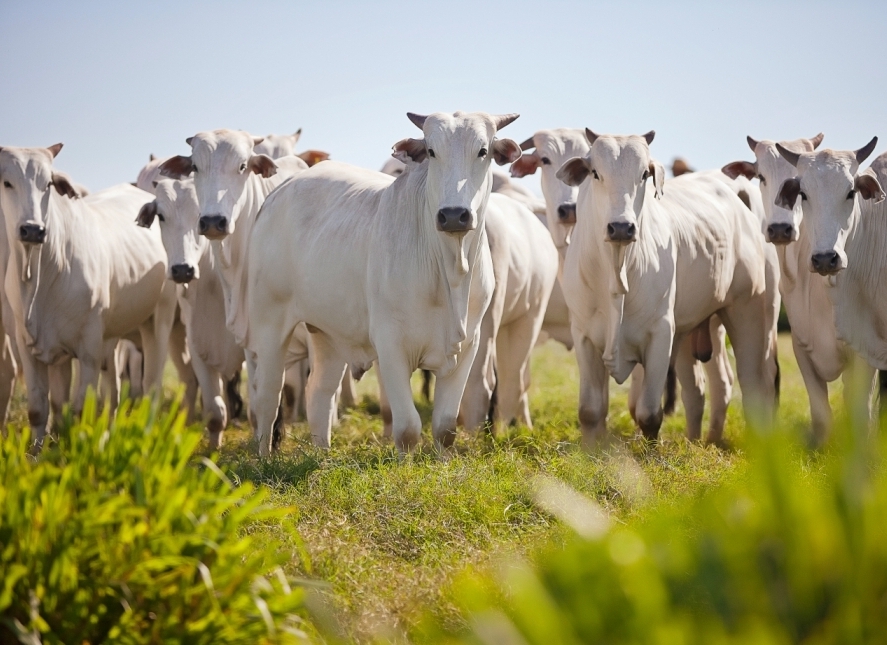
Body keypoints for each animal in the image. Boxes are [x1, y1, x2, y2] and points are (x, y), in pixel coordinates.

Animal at [0, 145, 179, 448]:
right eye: (6, 182)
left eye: (48, 183)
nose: (33, 229)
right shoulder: (31, 348)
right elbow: (43, 410)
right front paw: (37, 454)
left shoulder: (88, 348)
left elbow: (81, 409)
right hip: (112, 337)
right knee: (114, 393)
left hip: (158, 321)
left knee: (151, 387)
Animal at [245, 112, 520, 452]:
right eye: (431, 151)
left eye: (483, 151)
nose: (454, 215)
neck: (450, 271)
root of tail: (278, 193)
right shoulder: (390, 345)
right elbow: (407, 428)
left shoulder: (468, 345)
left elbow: (445, 428)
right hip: (269, 324)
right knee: (267, 396)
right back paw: (263, 456)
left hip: (327, 332)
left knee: (319, 392)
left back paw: (322, 453)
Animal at [560, 131, 780, 442]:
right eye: (595, 173)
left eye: (644, 174)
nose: (621, 227)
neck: (616, 271)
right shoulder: (584, 336)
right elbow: (591, 412)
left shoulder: (661, 334)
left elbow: (649, 414)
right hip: (694, 330)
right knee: (704, 388)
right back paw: (702, 441)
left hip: (750, 314)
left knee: (755, 386)